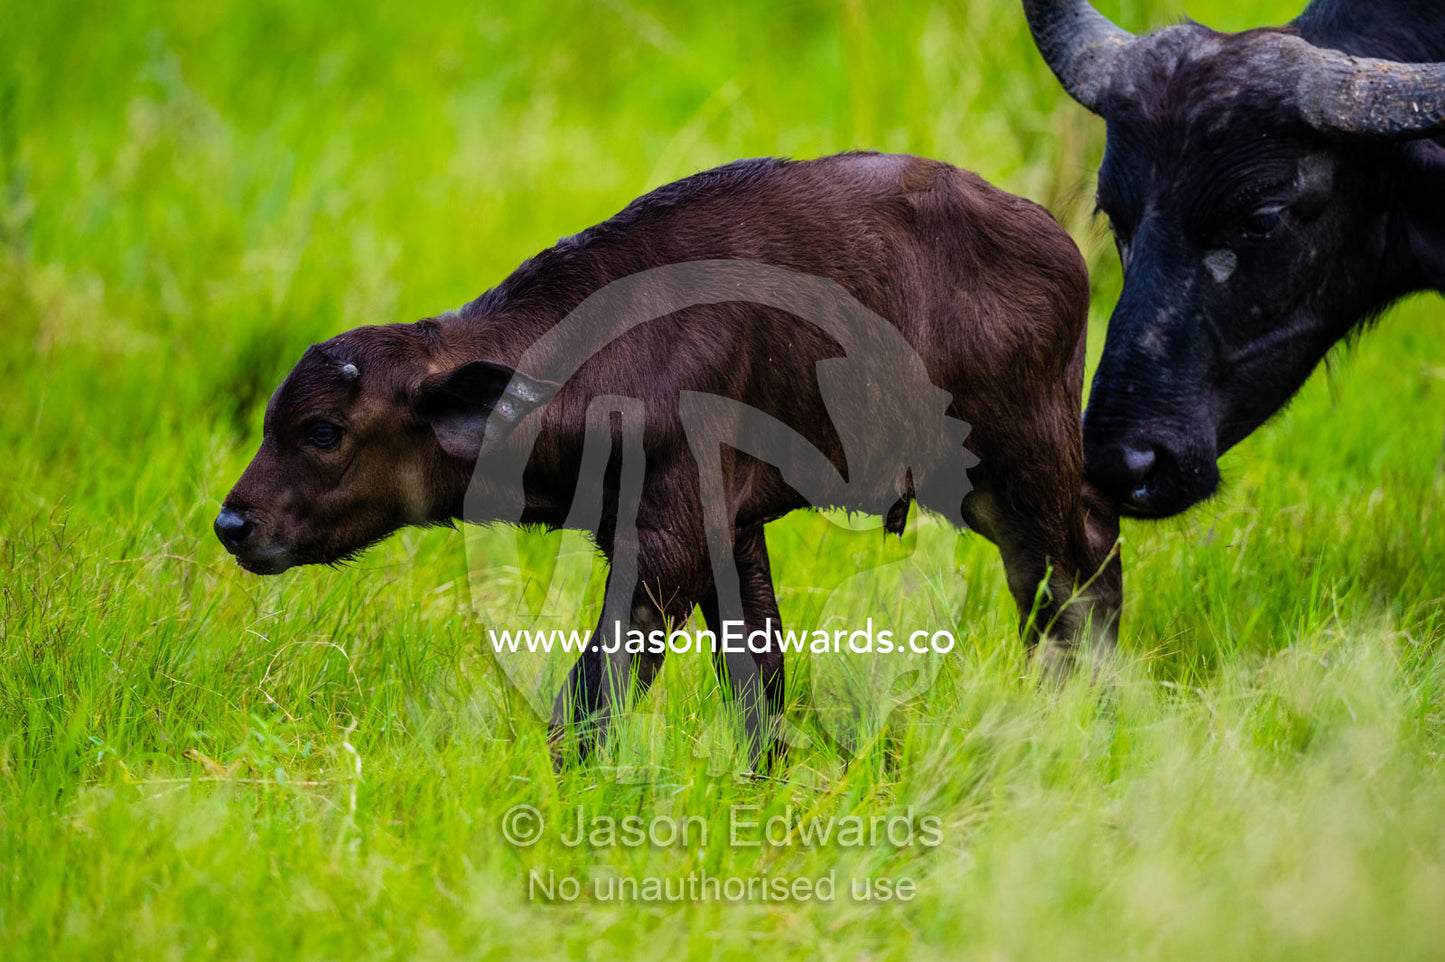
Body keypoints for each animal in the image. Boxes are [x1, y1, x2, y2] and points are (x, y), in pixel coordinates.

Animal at [214, 152, 1121, 766]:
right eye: (269, 421)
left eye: (322, 430)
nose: (233, 523)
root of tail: (1057, 241)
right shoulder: (729, 533)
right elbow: (756, 676)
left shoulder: (665, 545)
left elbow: (592, 696)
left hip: (1020, 467)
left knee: (1066, 584)